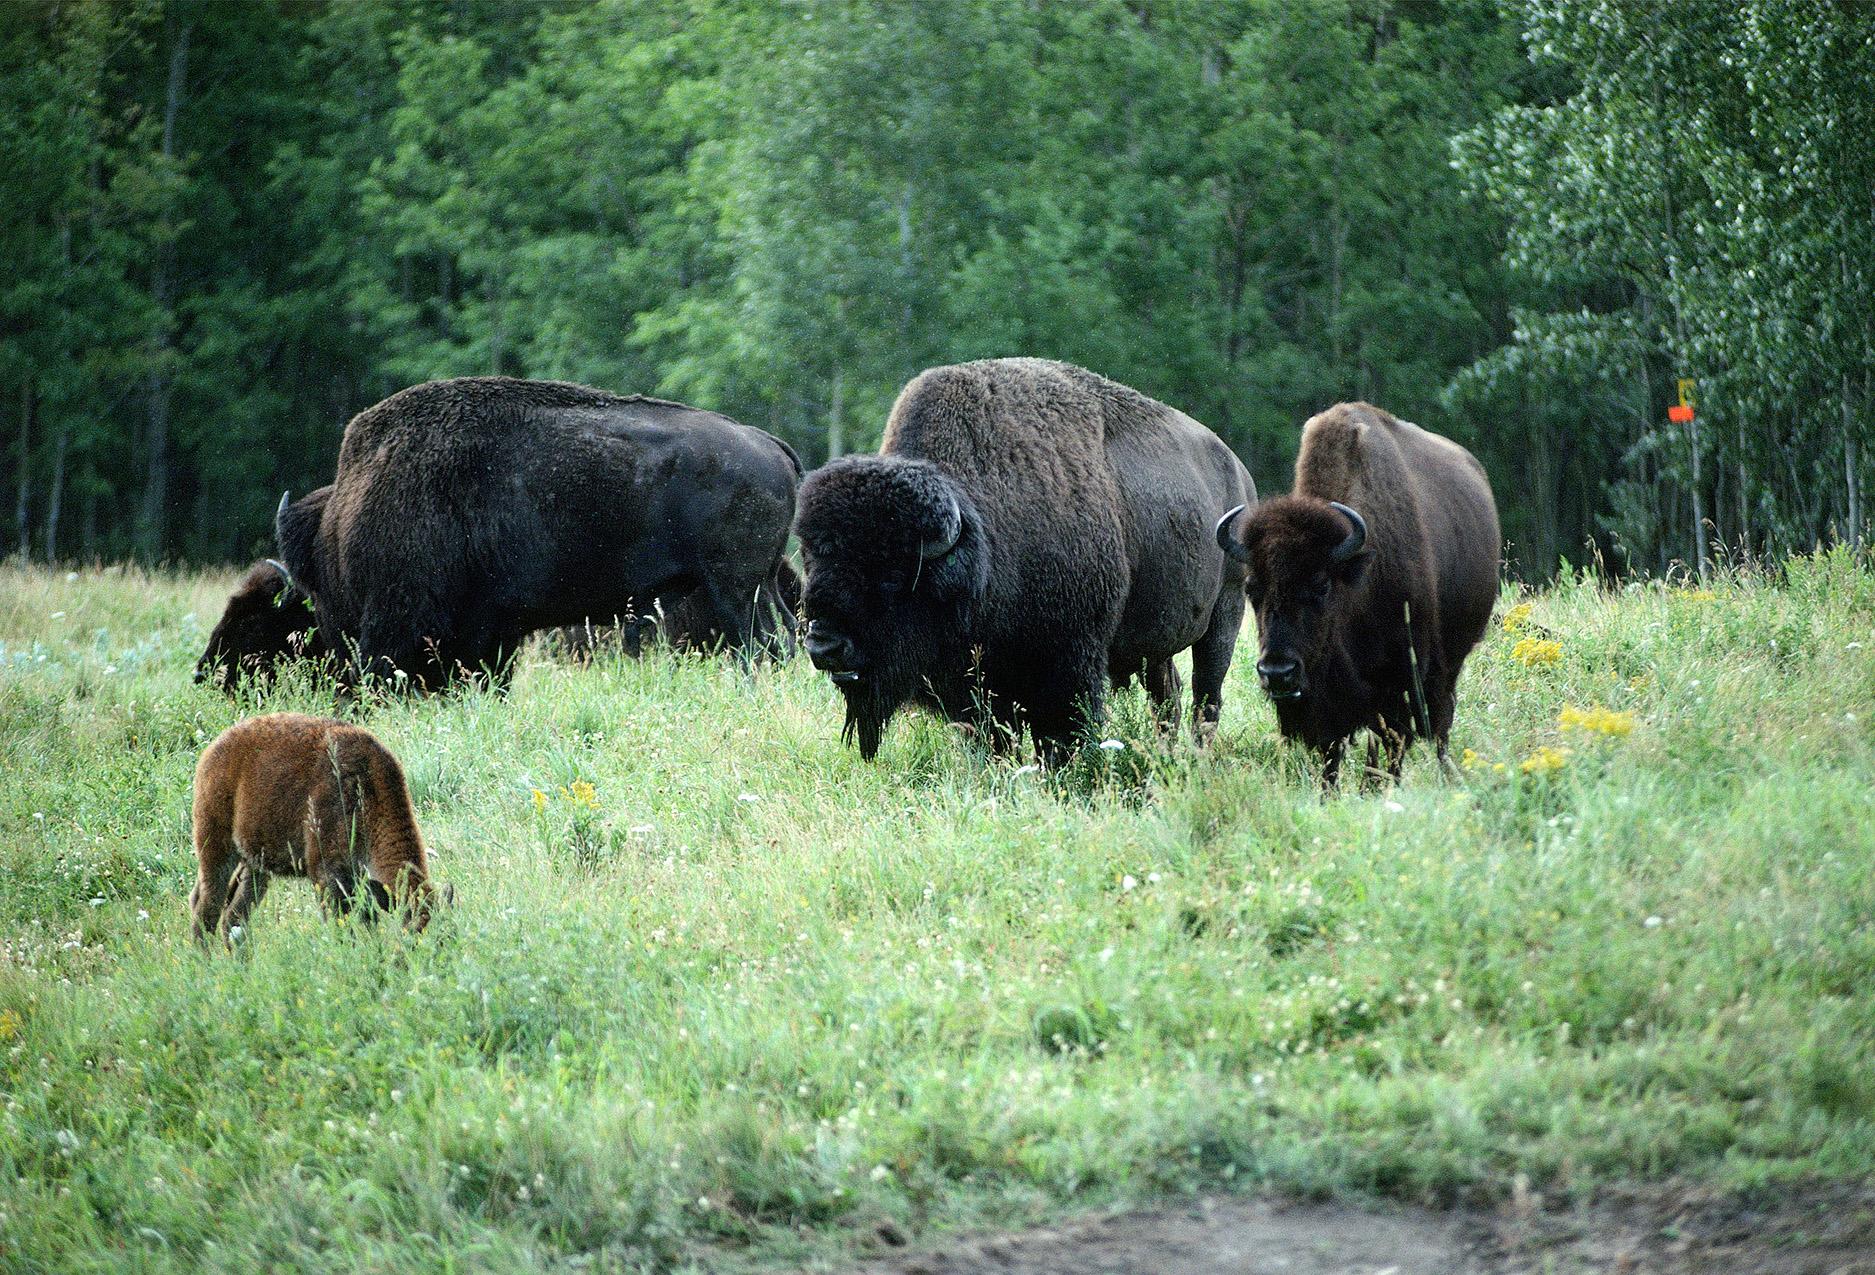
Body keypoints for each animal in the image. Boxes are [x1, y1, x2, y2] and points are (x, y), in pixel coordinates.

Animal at [188, 712, 444, 941]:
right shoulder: (325, 874)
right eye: (412, 932)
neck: (365, 789)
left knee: (234, 917)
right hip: (216, 849)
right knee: (206, 908)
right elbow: (341, 924)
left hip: (255, 864)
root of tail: (211, 752)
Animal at [273, 378, 802, 686]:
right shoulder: (494, 628)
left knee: (760, 647)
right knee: (782, 642)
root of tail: (765, 441)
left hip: (735, 592)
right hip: (760, 586)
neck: (343, 521)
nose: (331, 648)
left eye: (313, 585)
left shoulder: (400, 623)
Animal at [795, 354, 1252, 761]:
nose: (824, 645)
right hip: (1153, 644)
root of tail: (1238, 469)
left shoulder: (1068, 662)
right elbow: (994, 736)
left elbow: (1062, 730)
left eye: (891, 573)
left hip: (1226, 613)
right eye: (812, 560)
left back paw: (1196, 758)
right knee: (1167, 694)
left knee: (1206, 694)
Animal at [1207, 401, 1500, 787]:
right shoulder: (1328, 705)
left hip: (1449, 664)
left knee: (1440, 725)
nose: (1278, 673)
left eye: (1321, 585)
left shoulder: (1399, 683)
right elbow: (1333, 754)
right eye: (1252, 588)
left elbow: (1393, 743)